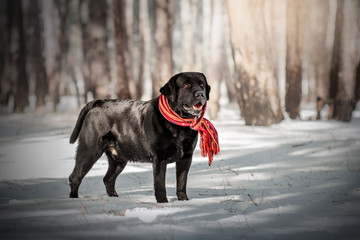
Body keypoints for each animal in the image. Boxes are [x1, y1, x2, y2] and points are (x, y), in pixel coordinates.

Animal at [69, 71, 212, 202]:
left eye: (202, 85)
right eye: (186, 85)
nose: (200, 94)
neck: (179, 125)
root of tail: (98, 102)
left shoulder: (186, 157)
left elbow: (181, 182)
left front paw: (183, 200)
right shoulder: (159, 159)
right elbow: (160, 185)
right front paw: (163, 203)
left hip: (119, 158)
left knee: (108, 179)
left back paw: (115, 198)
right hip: (89, 150)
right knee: (75, 177)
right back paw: (73, 200)